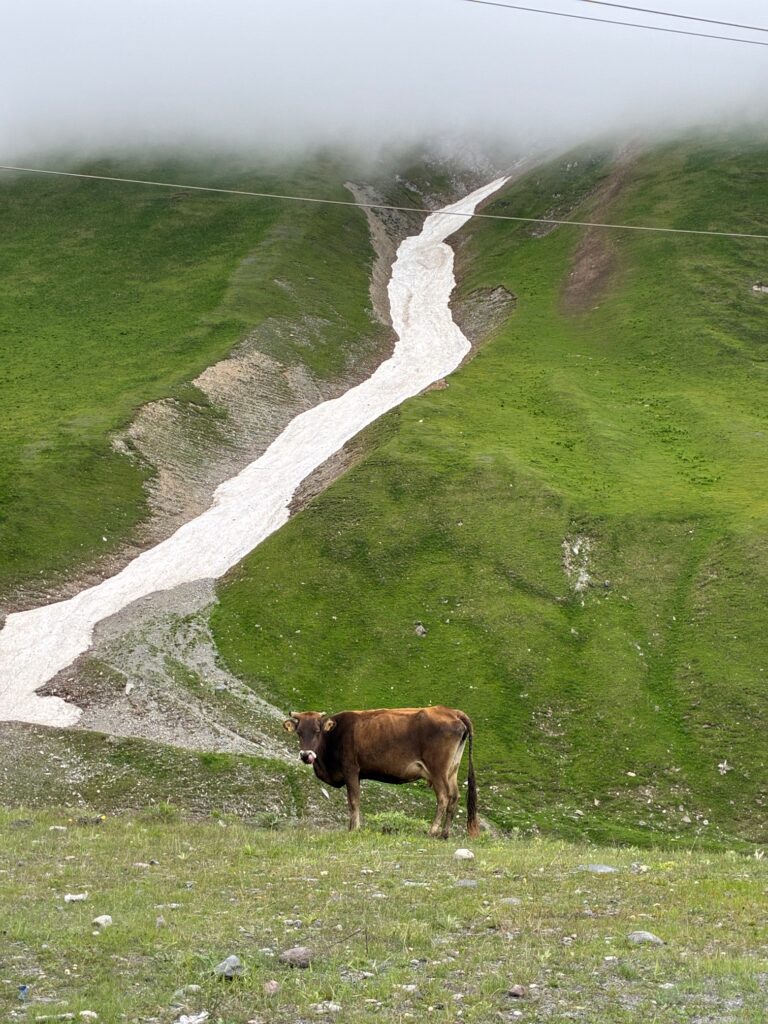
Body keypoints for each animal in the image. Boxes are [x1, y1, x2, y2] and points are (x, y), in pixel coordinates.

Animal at [283, 705, 478, 838]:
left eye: (317, 731)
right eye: (299, 732)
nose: (306, 755)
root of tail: (451, 712)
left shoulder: (350, 769)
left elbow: (354, 801)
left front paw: (354, 829)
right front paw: (351, 827)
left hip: (438, 770)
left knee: (444, 797)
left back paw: (432, 831)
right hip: (452, 769)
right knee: (455, 797)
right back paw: (444, 834)